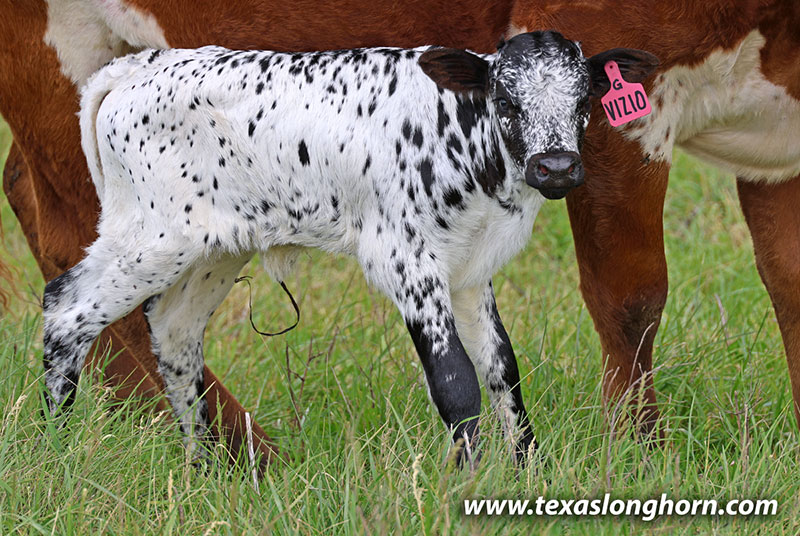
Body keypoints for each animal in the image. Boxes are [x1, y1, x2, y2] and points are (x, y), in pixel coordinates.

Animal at [2, 0, 799, 457]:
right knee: (68, 306)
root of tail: (139, 69)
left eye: (582, 101)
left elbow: (503, 371)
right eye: (506, 99)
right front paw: (471, 479)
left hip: (214, 249)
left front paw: (525, 470)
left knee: (171, 333)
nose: (556, 167)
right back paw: (58, 446)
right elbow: (455, 381)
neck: (463, 138)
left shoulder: (471, 273)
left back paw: (206, 468)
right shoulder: (405, 263)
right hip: (146, 234)